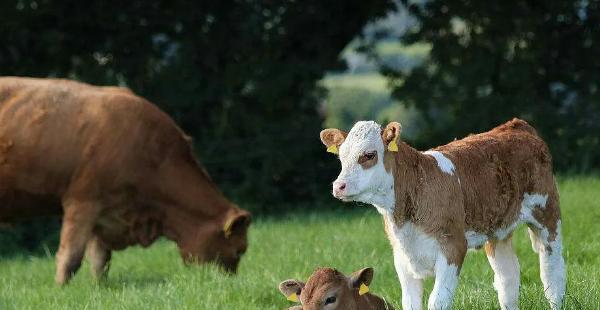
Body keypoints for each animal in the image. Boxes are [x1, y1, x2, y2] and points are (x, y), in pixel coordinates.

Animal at [0, 77, 251, 284]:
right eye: (239, 250)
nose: (231, 283)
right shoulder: (82, 201)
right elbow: (71, 257)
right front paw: (61, 289)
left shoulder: (104, 213)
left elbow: (100, 260)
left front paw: (99, 288)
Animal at [322, 119, 564, 310]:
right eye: (341, 158)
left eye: (369, 155)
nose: (338, 186)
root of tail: (517, 125)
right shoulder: (402, 256)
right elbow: (410, 303)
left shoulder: (453, 247)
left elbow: (437, 301)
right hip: (498, 231)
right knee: (508, 278)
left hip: (547, 214)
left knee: (552, 272)